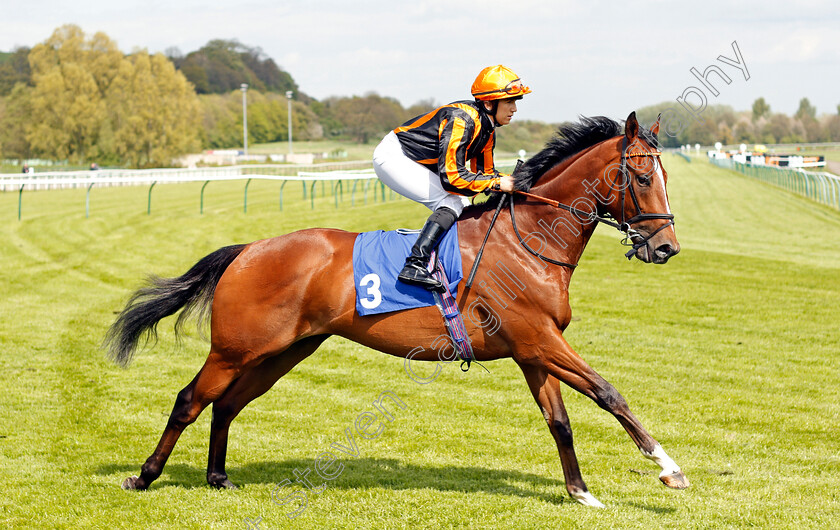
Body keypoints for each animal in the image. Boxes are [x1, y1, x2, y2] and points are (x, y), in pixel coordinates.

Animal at [105, 109, 684, 506]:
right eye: (641, 177)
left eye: (666, 176)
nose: (666, 248)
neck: (529, 240)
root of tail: (248, 249)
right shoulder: (540, 339)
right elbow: (609, 393)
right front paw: (667, 467)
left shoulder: (532, 350)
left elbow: (559, 421)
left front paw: (581, 491)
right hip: (232, 348)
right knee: (189, 400)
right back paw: (145, 475)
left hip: (283, 350)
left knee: (226, 405)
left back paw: (218, 476)